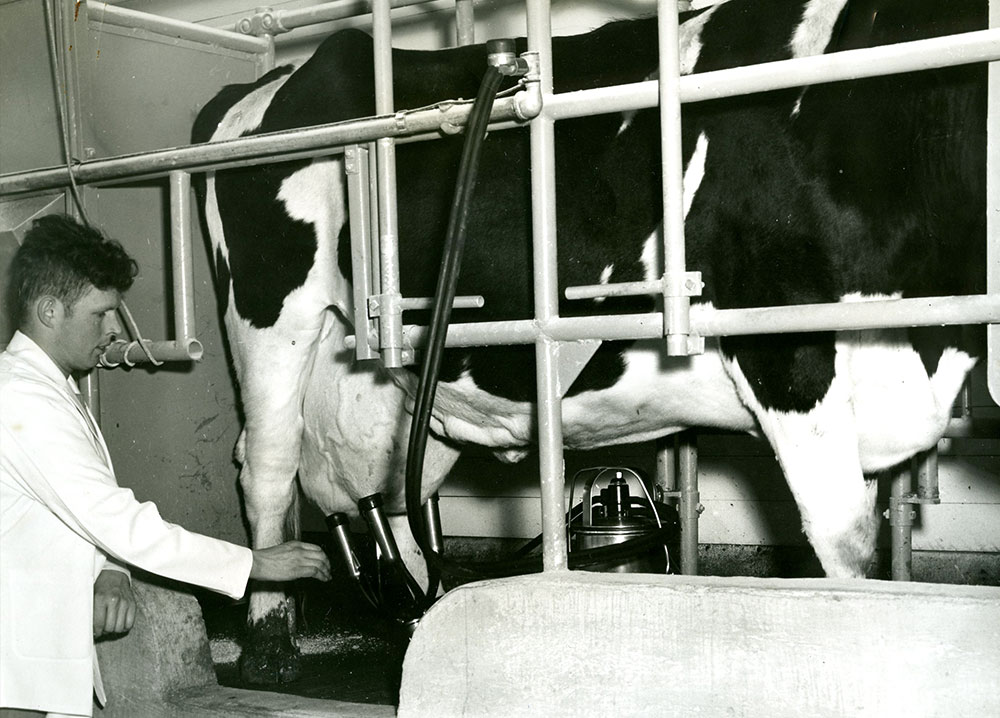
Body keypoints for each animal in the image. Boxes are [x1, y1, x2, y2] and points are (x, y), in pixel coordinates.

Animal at [193, 0, 984, 688]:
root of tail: (264, 83)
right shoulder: (787, 356)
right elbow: (844, 541)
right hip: (272, 313)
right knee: (267, 467)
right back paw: (269, 639)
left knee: (394, 489)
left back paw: (419, 619)